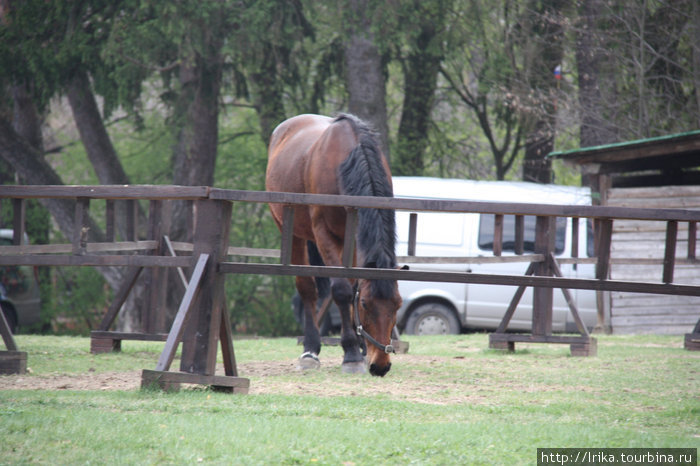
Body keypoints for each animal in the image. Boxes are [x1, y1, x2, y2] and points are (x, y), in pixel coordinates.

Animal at [266, 114, 402, 376]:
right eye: (365, 304)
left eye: (398, 305)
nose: (381, 365)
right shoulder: (324, 235)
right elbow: (341, 290)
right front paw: (351, 354)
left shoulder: (354, 239)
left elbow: (353, 285)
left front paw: (359, 348)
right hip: (292, 232)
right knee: (307, 289)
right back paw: (310, 350)